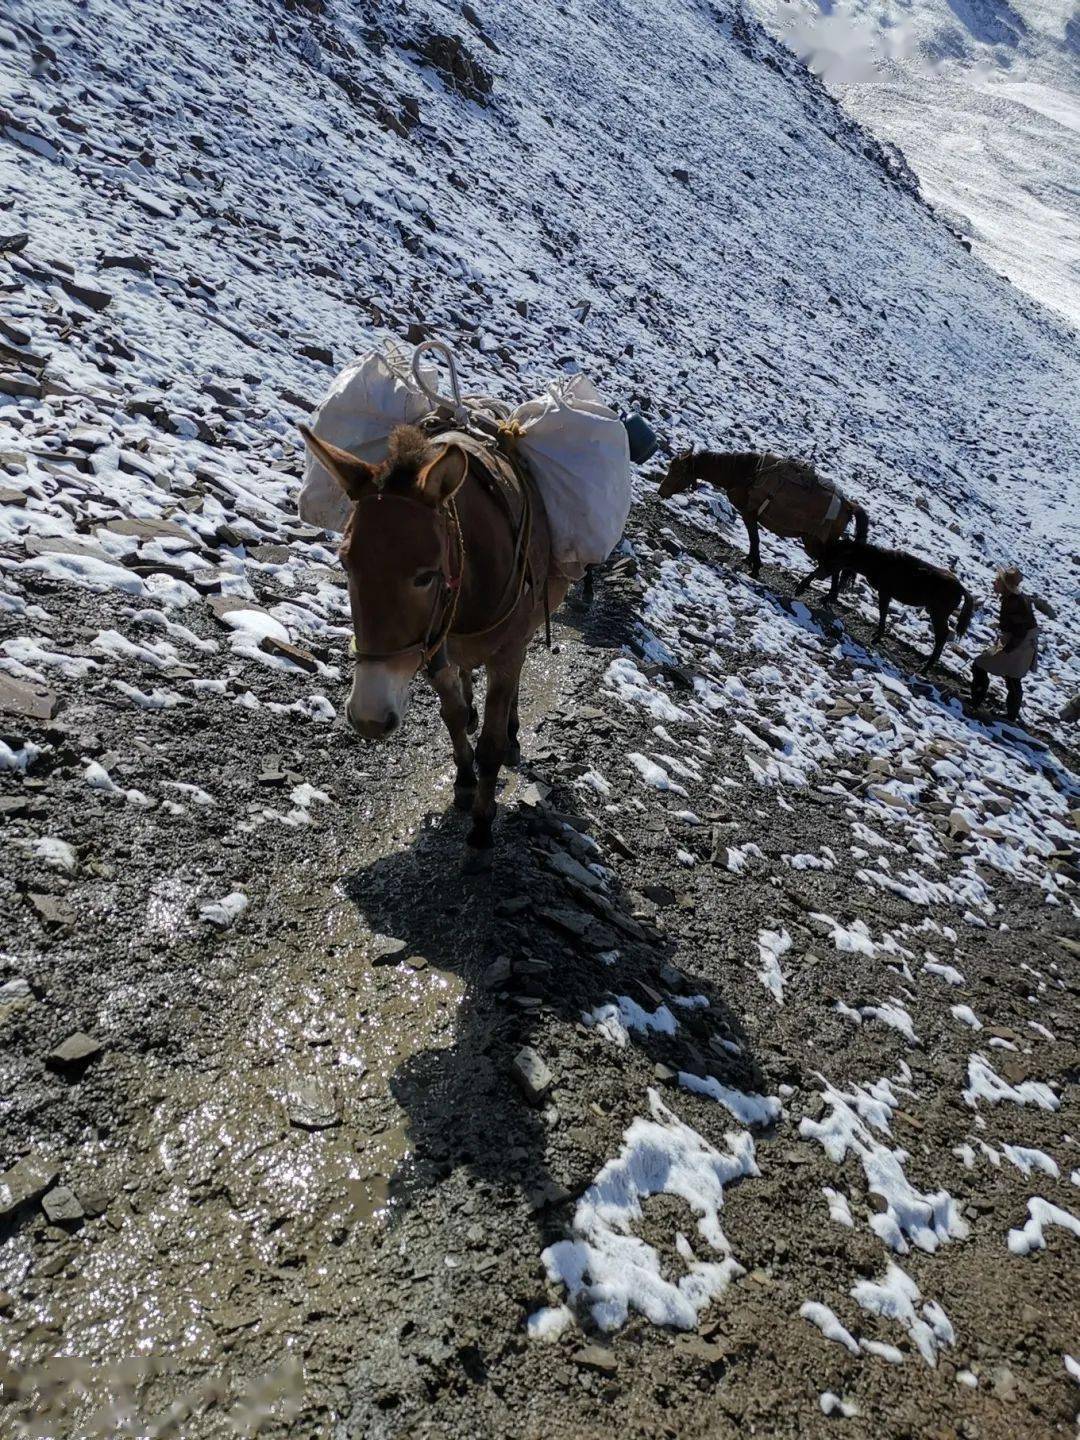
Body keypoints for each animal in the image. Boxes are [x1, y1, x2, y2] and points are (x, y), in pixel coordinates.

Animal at [298, 423, 570, 864]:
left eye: (425, 576)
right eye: (344, 563)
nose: (370, 718)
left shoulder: (505, 652)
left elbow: (491, 745)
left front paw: (481, 828)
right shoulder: (430, 647)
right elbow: (453, 716)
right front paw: (463, 780)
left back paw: (512, 732)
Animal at [658, 449, 869, 584]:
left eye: (677, 471)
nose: (661, 491)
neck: (744, 472)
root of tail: (848, 505)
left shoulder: (749, 513)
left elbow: (754, 539)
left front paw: (755, 567)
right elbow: (754, 540)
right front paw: (750, 561)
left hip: (813, 542)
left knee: (833, 564)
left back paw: (807, 589)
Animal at [796, 538, 975, 671]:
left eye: (834, 559)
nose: (820, 572)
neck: (878, 563)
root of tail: (962, 589)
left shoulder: (885, 592)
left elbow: (883, 611)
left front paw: (877, 637)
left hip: (938, 611)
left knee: (943, 634)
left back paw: (925, 668)